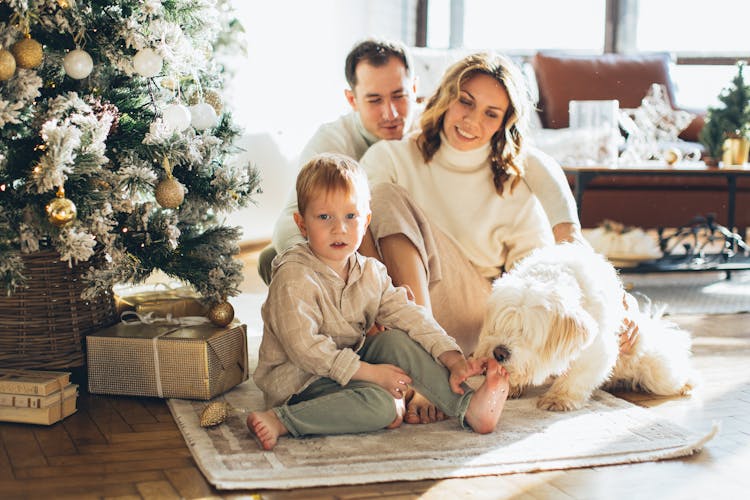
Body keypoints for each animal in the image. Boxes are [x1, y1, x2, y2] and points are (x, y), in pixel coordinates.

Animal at [476, 242, 700, 410]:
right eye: (498, 326)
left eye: (526, 333)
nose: (499, 353)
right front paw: (512, 385)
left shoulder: (597, 350)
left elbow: (576, 375)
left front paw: (558, 398)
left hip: (657, 372)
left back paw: (687, 382)